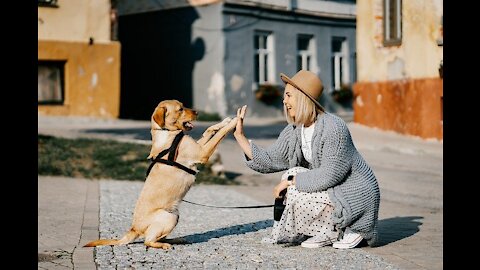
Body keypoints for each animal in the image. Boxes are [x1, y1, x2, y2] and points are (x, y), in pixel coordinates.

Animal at [85, 99, 239, 249]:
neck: (167, 133)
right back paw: (164, 245)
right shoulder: (202, 153)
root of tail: (134, 229)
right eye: (180, 109)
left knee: (157, 237)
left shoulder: (198, 146)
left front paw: (224, 121)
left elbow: (209, 130)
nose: (197, 112)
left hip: (175, 215)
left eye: (183, 105)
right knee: (148, 241)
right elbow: (219, 134)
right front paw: (234, 122)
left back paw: (177, 240)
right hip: (168, 216)